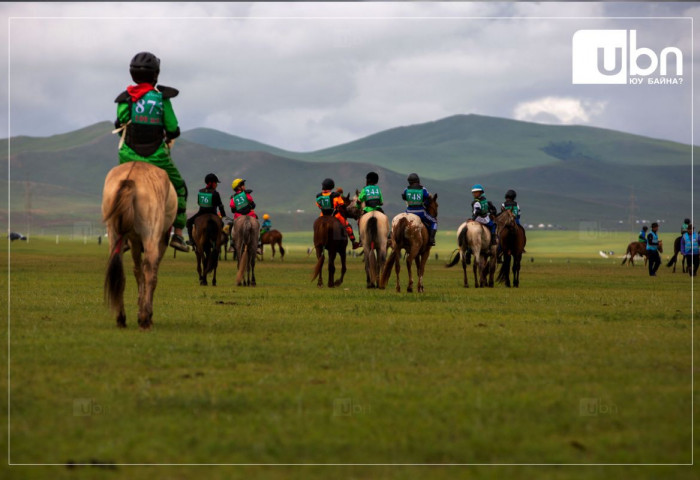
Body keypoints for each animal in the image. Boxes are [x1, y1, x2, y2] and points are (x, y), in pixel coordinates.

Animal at [102, 162, 176, 330]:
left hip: (114, 232)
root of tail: (130, 177)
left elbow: (137, 272)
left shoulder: (134, 241)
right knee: (150, 271)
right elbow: (150, 274)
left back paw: (121, 317)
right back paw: (145, 319)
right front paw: (145, 313)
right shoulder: (160, 241)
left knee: (120, 270)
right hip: (151, 234)